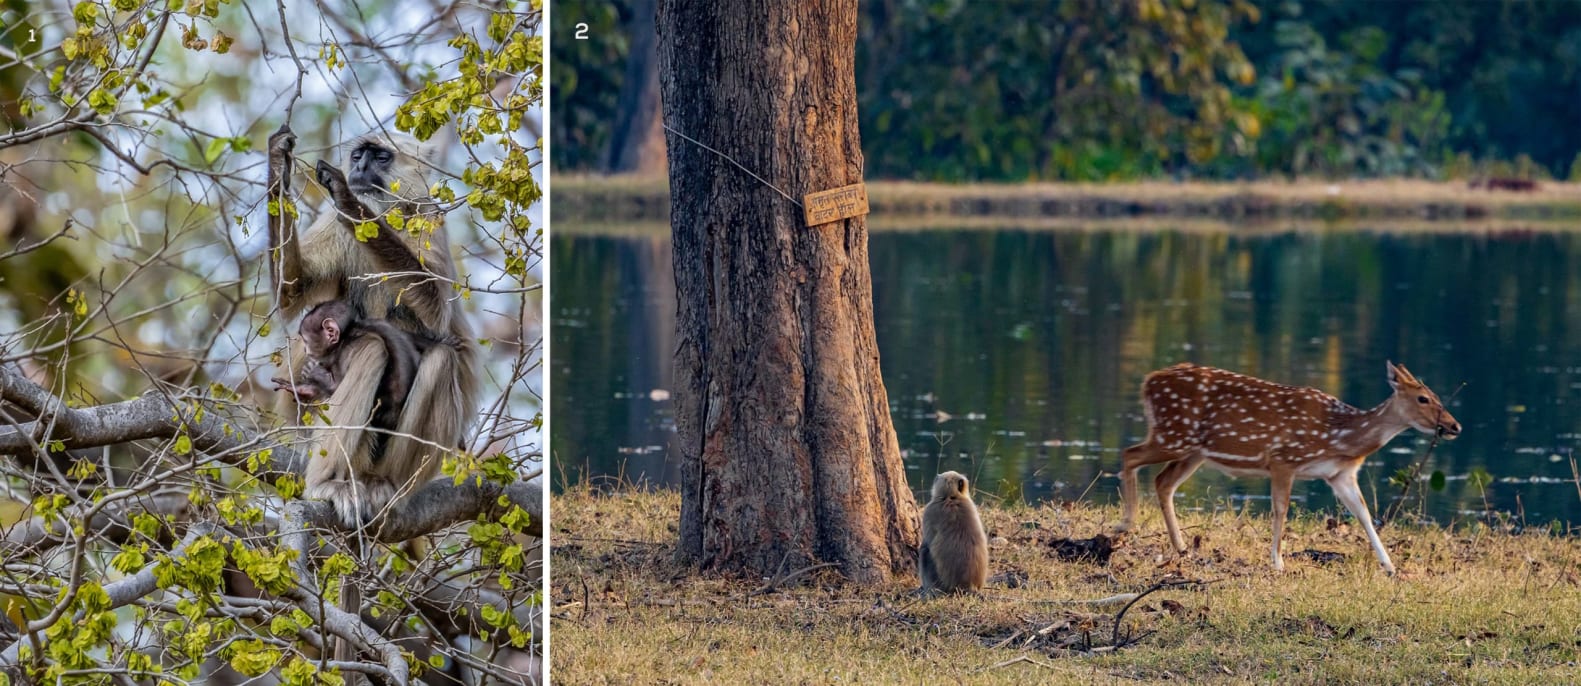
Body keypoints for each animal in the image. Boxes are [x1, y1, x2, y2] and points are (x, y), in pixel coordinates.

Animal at [1115, 361, 1461, 575]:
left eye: (1437, 396)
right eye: (1423, 398)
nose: (1454, 426)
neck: (1341, 437)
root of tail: (1148, 381)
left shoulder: (1340, 474)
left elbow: (1363, 513)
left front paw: (1389, 566)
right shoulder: (1284, 459)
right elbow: (1281, 509)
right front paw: (1278, 562)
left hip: (1193, 450)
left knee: (1163, 481)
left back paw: (1182, 547)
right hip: (1174, 434)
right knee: (1130, 454)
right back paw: (1125, 524)